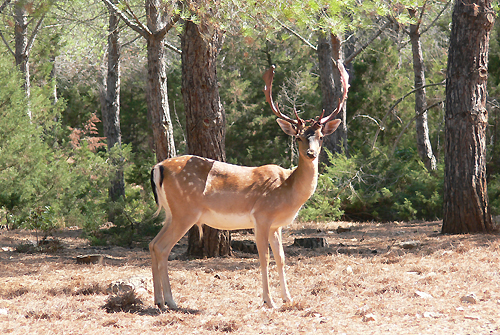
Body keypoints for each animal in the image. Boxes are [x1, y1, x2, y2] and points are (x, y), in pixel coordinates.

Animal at [150, 64, 350, 312]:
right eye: (298, 137)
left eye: (321, 137)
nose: (311, 153)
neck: (288, 190)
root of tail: (158, 167)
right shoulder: (262, 216)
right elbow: (264, 257)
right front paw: (268, 301)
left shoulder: (276, 225)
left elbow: (281, 257)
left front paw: (288, 298)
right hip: (185, 211)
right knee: (162, 247)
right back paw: (168, 300)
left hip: (171, 213)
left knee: (153, 244)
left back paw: (160, 300)